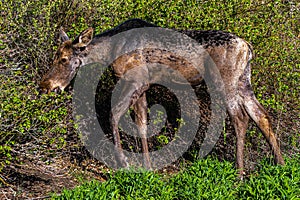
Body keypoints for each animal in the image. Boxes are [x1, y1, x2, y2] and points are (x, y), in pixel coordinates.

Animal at [38, 18, 284, 175]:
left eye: (63, 59)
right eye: (55, 56)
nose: (45, 85)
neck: (110, 50)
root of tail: (248, 47)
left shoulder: (135, 79)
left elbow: (113, 115)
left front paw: (123, 163)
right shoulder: (143, 86)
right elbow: (142, 123)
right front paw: (148, 168)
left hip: (226, 81)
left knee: (240, 118)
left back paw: (240, 174)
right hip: (244, 81)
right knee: (261, 115)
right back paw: (280, 166)